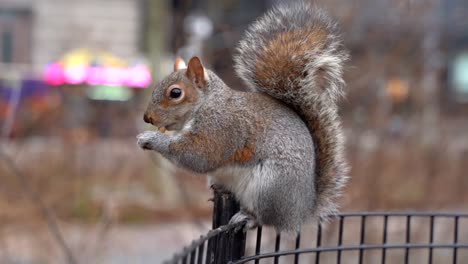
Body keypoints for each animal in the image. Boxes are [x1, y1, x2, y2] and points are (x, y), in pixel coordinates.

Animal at [137, 2, 350, 233]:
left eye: (175, 93)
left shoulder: (221, 128)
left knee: (266, 219)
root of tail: (302, 212)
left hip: (269, 188)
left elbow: (198, 155)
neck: (207, 104)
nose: (147, 118)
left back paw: (248, 218)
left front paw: (150, 138)